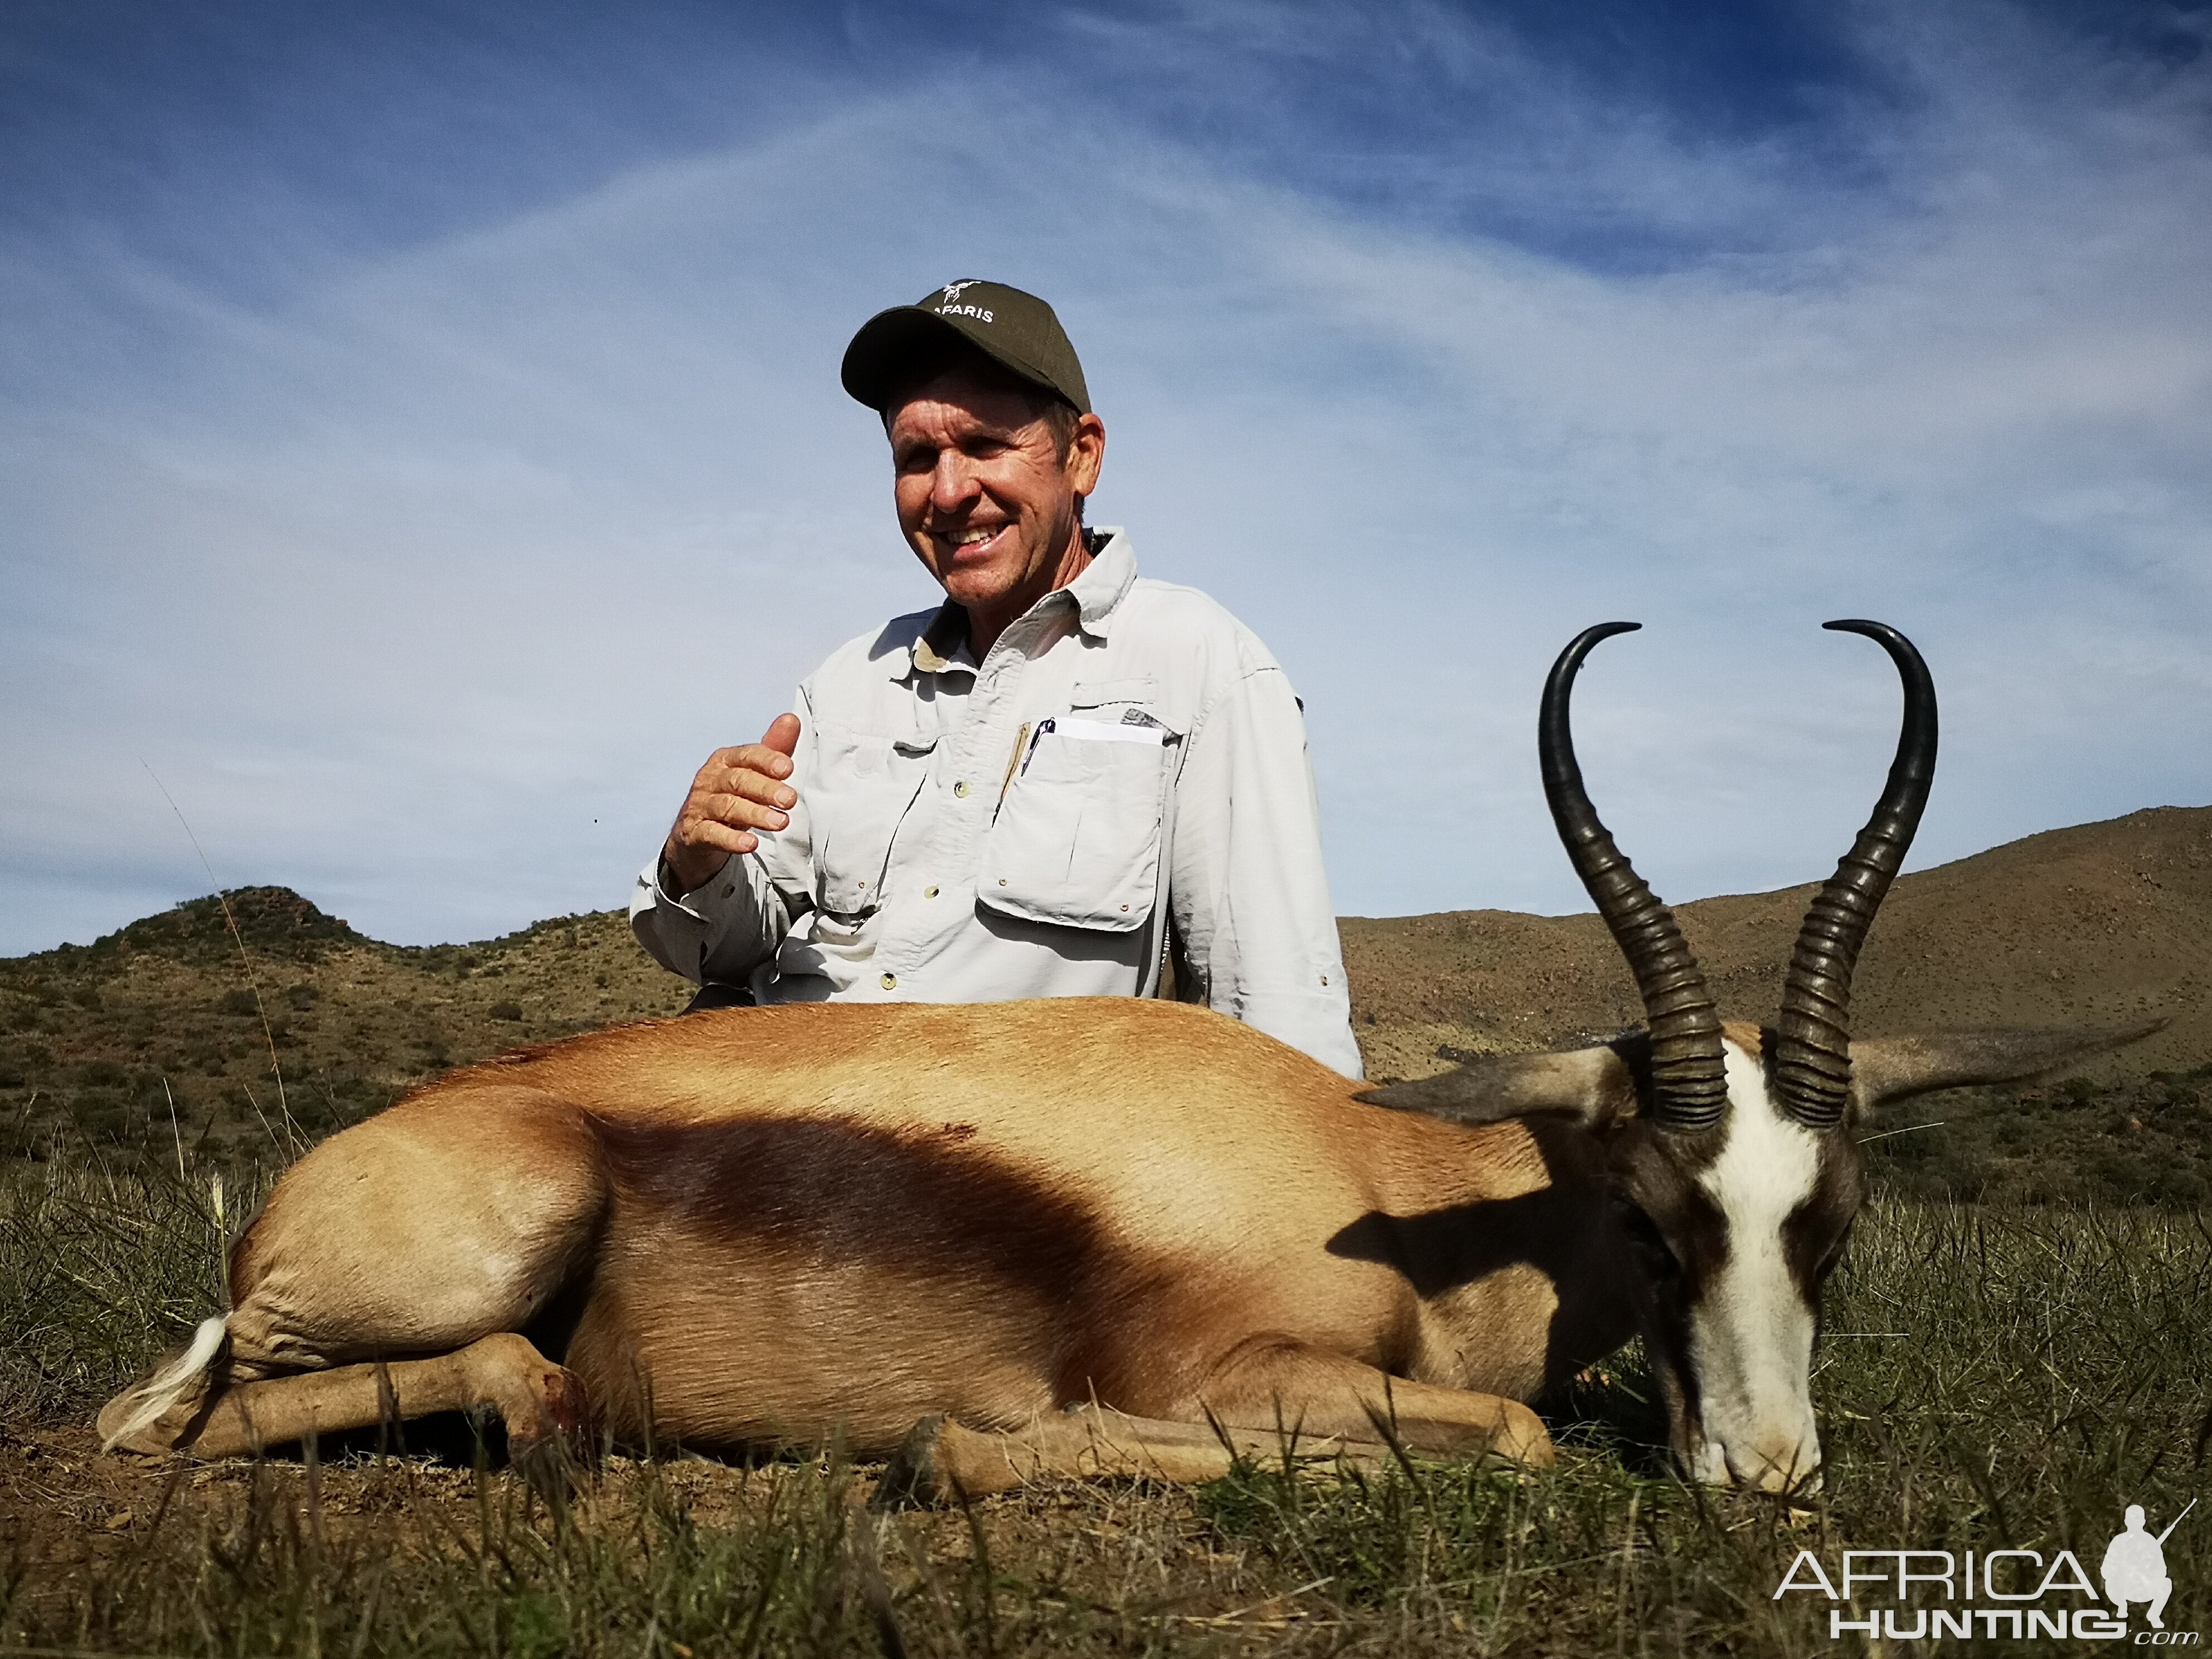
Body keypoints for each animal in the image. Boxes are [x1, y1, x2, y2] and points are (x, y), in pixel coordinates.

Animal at [99, 619, 2141, 1495]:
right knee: (164, 1416)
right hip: (483, 1247)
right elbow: (1500, 1435)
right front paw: (970, 1445)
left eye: (1833, 1220)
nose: (1768, 1472)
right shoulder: (1229, 1372)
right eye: (1648, 1210)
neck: (1384, 1186)